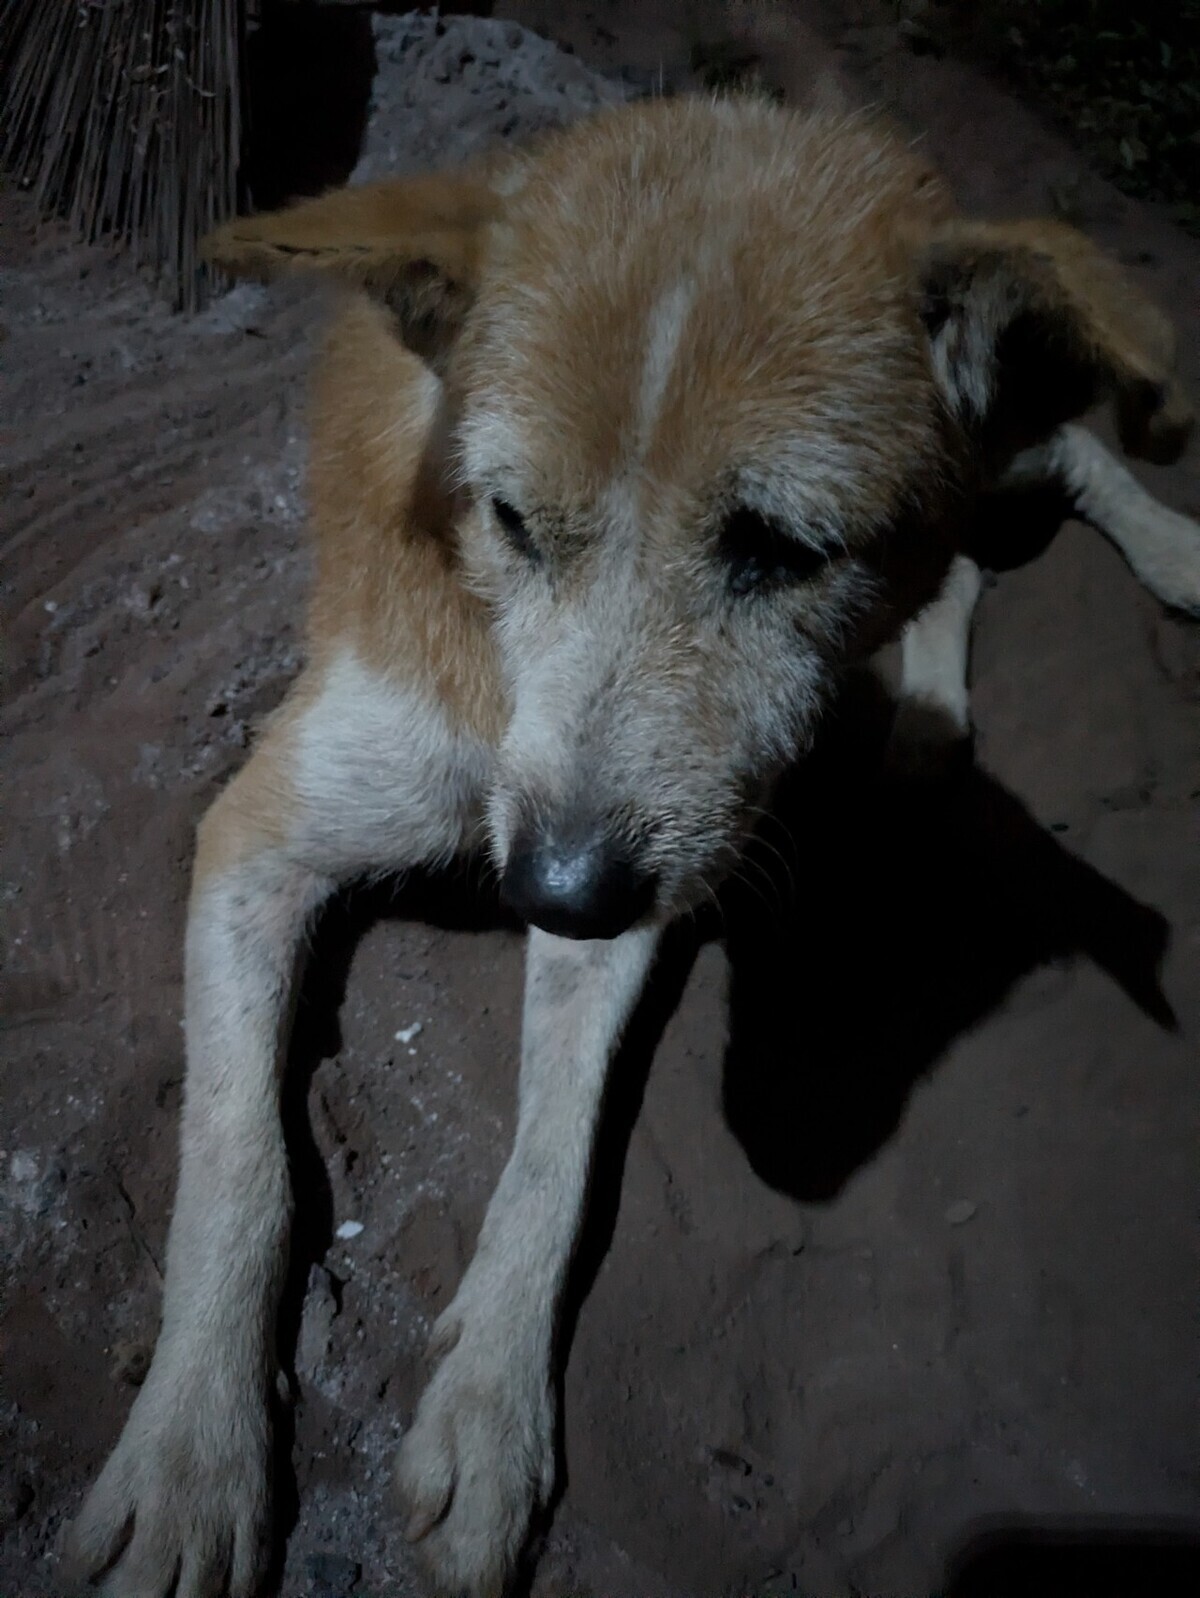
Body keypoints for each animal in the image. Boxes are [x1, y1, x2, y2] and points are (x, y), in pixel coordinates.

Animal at [66, 94, 1199, 1598]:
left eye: (782, 549)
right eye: (510, 520)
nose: (550, 888)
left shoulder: (635, 876)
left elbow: (556, 1153)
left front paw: (487, 1411)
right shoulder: (267, 832)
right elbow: (238, 1158)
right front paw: (193, 1450)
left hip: (1001, 443)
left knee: (1068, 457)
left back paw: (1174, 556)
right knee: (965, 556)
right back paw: (926, 714)